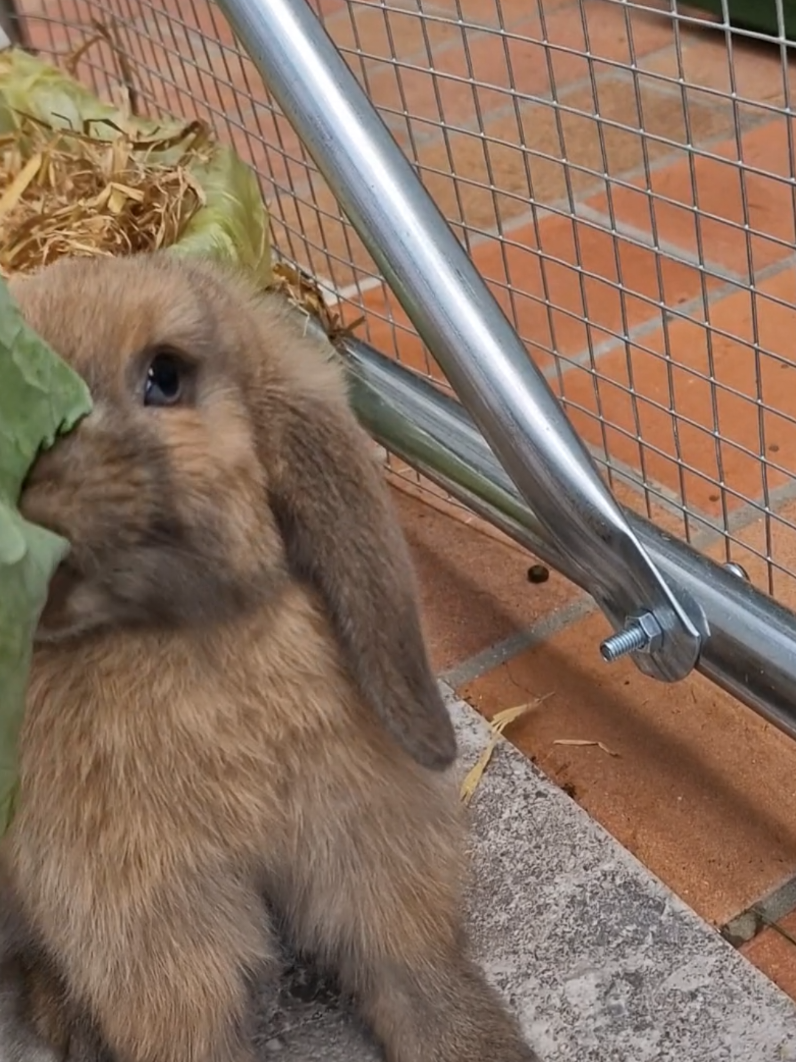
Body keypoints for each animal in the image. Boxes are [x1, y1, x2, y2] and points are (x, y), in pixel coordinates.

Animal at [0, 251, 542, 1062]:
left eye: (166, 377)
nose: (35, 487)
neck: (180, 633)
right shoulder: (144, 916)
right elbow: (190, 1031)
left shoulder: (363, 838)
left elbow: (410, 965)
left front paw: (474, 1043)